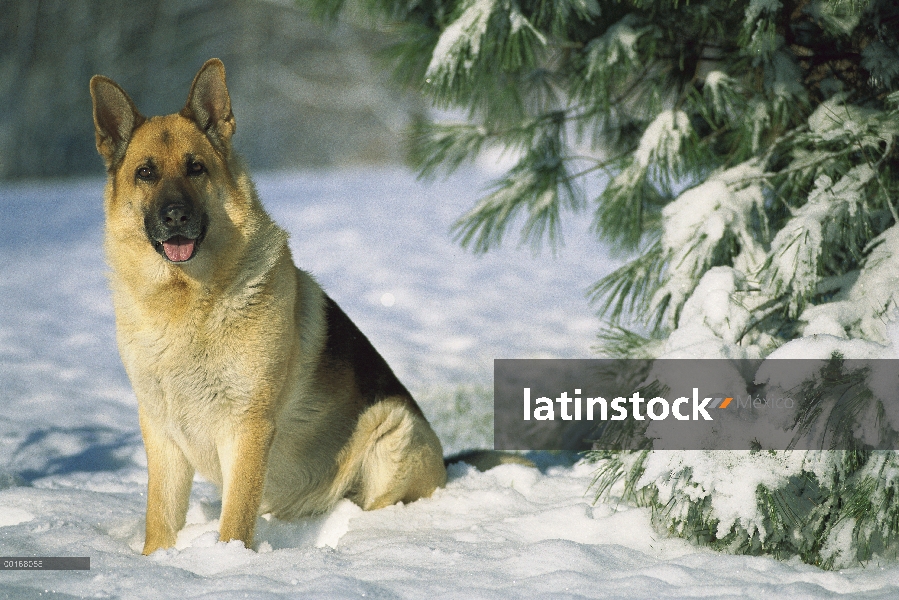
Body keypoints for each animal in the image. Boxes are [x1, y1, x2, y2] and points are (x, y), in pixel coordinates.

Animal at [89, 58, 448, 556]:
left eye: (196, 168)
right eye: (145, 173)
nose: (176, 216)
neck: (188, 303)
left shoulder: (248, 427)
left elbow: (236, 518)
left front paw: (226, 562)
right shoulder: (161, 433)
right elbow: (160, 517)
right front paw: (155, 562)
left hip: (391, 430)